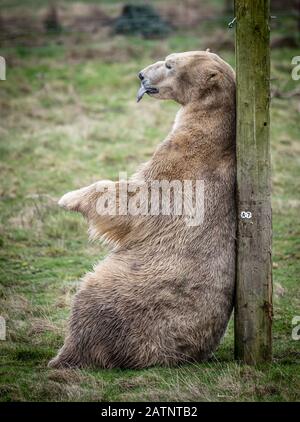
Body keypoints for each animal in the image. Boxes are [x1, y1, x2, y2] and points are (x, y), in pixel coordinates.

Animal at [49, 50, 237, 370]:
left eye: (170, 64)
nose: (141, 75)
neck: (212, 134)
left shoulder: (181, 166)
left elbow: (136, 199)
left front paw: (68, 197)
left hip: (128, 291)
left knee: (91, 299)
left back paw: (64, 356)